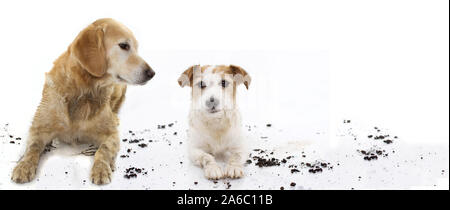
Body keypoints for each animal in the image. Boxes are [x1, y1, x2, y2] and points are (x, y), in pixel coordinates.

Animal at [11, 18, 155, 185]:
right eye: (124, 46)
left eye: (136, 48)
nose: (152, 73)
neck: (84, 90)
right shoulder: (38, 128)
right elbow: (32, 148)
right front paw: (23, 166)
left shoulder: (111, 134)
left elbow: (103, 150)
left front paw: (101, 168)